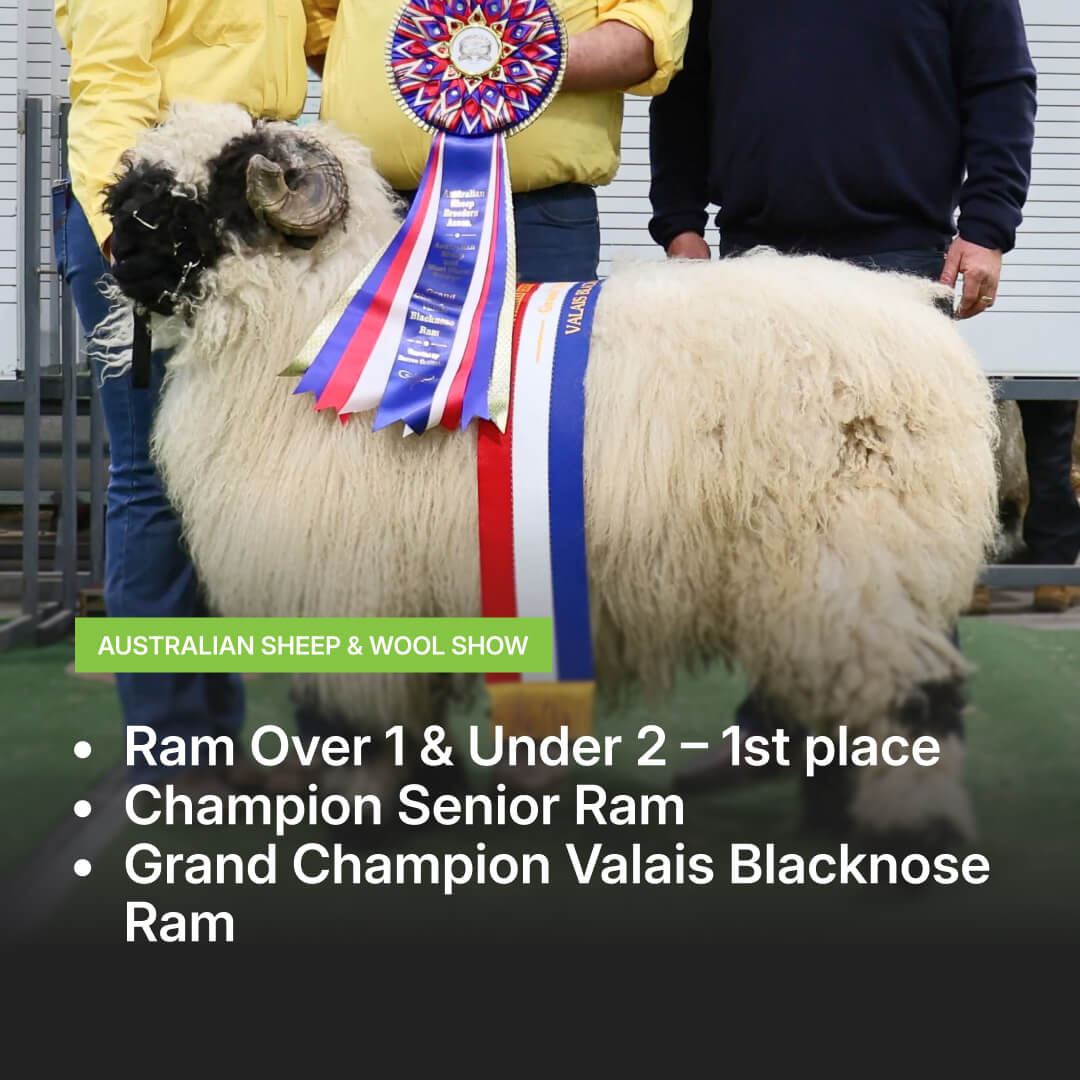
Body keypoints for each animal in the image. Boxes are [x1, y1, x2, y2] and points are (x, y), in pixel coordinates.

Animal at [96, 102, 1000, 851]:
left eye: (212, 194)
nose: (115, 248)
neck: (313, 330)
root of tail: (923, 322)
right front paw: (428, 801)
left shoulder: (350, 584)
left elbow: (359, 728)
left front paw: (363, 821)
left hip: (858, 550)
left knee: (909, 699)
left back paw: (909, 833)